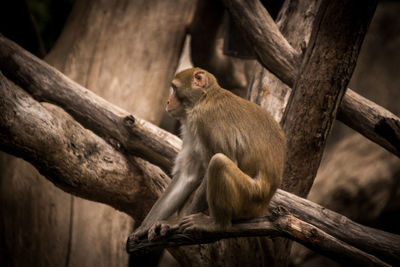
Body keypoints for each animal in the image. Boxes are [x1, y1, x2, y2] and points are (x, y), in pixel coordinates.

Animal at [128, 66, 284, 241]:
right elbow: (187, 177)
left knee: (219, 162)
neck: (204, 98)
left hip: (249, 198)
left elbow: (223, 158)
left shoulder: (205, 121)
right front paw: (144, 227)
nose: (168, 101)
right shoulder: (192, 126)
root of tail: (264, 204)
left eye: (174, 88)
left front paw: (176, 223)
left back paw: (217, 225)